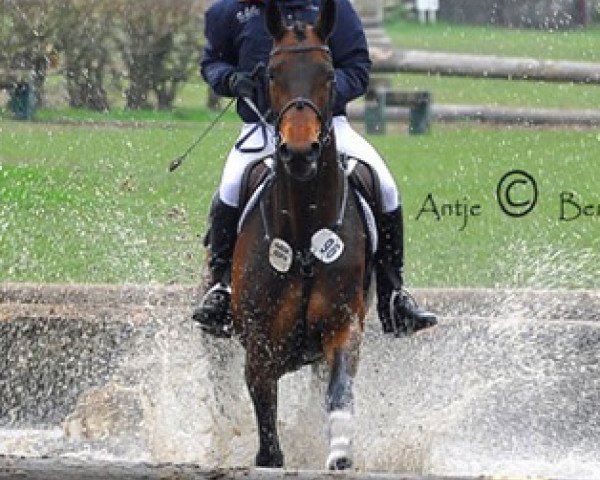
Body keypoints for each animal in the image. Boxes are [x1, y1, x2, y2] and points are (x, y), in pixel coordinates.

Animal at [231, 0, 368, 468]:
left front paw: (340, 451)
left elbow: (340, 389)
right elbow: (264, 410)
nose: (300, 152)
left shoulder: (343, 324)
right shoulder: (260, 342)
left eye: (328, 74)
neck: (306, 229)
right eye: (272, 74)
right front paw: (269, 456)